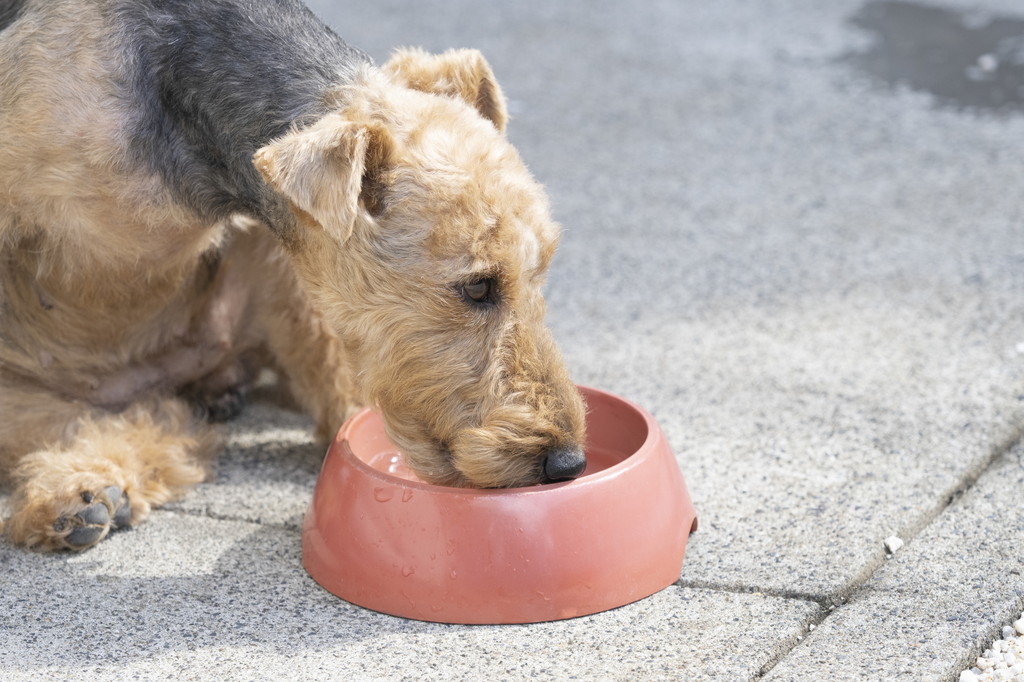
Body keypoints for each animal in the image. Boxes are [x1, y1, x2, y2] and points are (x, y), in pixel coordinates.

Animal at [0, 0, 589, 548]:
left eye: (540, 271)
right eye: (477, 286)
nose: (568, 462)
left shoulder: (273, 244)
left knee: (170, 426)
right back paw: (75, 493)